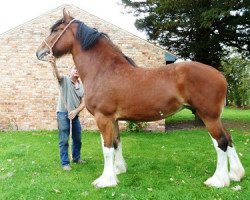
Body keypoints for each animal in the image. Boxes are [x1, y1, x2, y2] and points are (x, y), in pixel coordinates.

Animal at [35, 8, 244, 188]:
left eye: (56, 30)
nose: (39, 52)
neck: (103, 70)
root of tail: (220, 74)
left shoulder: (103, 118)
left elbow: (107, 148)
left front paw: (105, 180)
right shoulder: (114, 120)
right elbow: (116, 144)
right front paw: (118, 171)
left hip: (209, 116)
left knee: (221, 142)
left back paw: (218, 181)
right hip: (213, 117)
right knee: (228, 138)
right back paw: (236, 174)